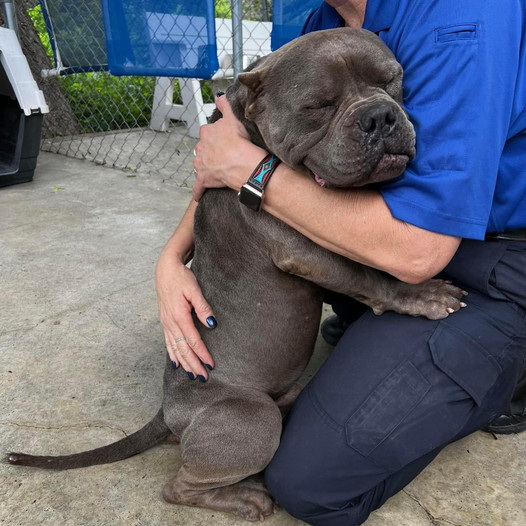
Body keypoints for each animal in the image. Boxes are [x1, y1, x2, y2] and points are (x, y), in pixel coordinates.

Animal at [8, 29, 466, 524]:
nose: (379, 116)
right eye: (318, 105)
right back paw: (247, 497)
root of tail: (168, 412)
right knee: (179, 486)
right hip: (252, 419)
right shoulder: (307, 251)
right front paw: (421, 295)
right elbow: (367, 276)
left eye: (391, 80)